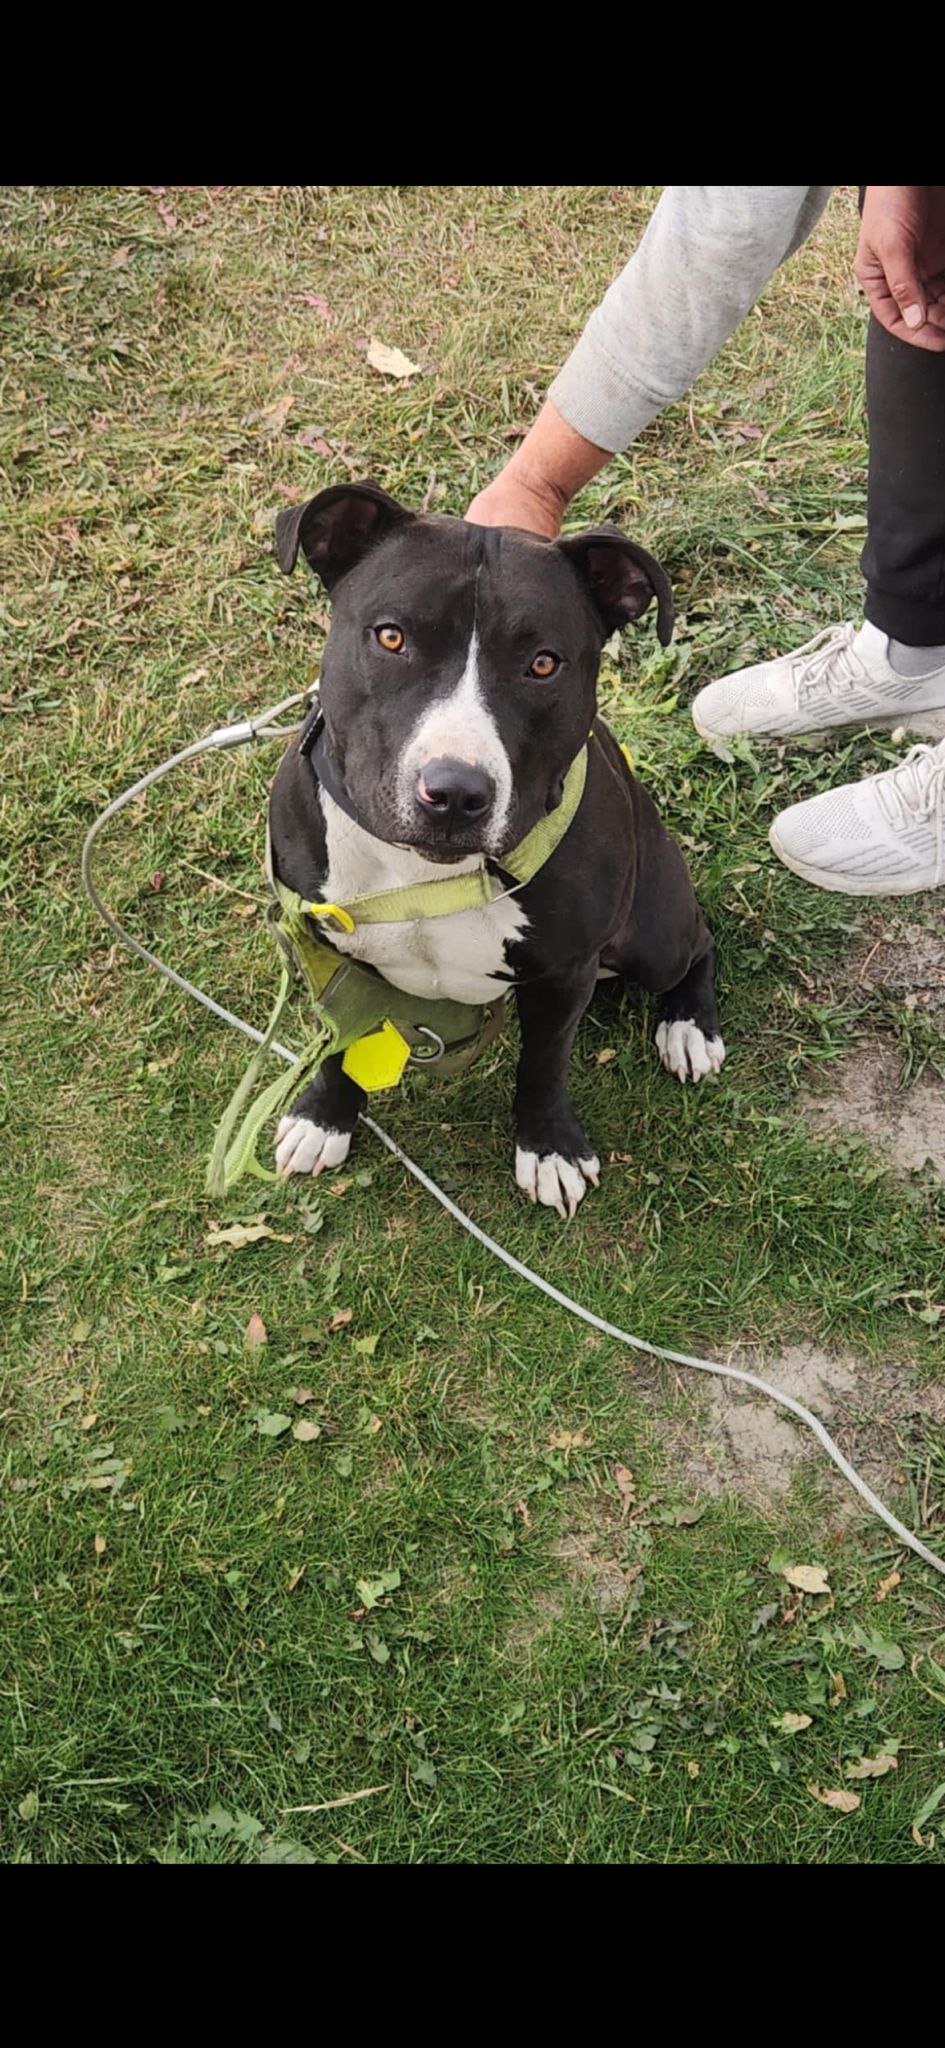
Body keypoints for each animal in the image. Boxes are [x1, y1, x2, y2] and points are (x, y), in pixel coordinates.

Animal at [267, 483, 724, 1217]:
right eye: (391, 636)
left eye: (542, 664)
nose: (454, 793)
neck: (423, 872)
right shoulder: (325, 950)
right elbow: (340, 1040)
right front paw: (325, 1116)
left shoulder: (564, 972)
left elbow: (542, 1064)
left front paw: (549, 1148)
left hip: (652, 930)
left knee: (698, 944)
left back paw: (688, 1027)